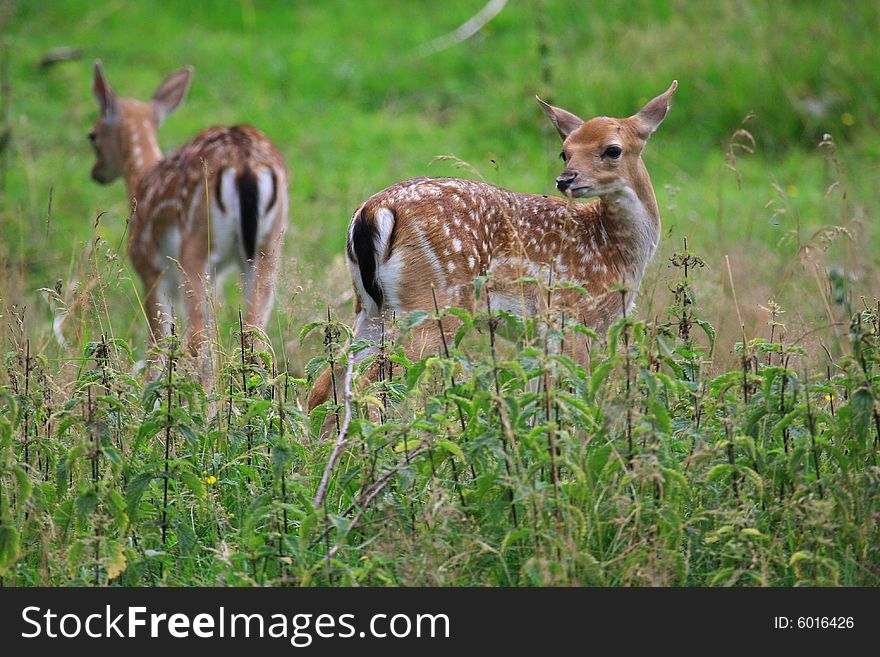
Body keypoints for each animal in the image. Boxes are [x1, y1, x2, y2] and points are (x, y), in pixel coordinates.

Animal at [89, 62, 288, 374]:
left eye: (92, 135)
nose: (96, 172)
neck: (140, 182)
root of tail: (245, 162)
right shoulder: (215, 276)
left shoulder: (148, 267)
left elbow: (157, 346)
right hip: (268, 246)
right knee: (256, 341)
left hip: (195, 245)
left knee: (197, 343)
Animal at [310, 82, 680, 410]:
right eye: (566, 151)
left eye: (612, 149)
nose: (565, 179)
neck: (613, 250)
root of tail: (373, 211)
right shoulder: (574, 320)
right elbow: (575, 395)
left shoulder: (541, 336)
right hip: (433, 303)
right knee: (373, 381)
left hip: (371, 307)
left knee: (328, 382)